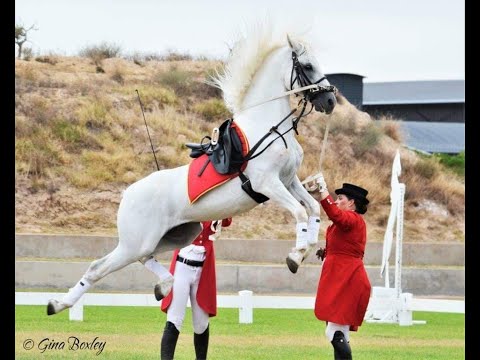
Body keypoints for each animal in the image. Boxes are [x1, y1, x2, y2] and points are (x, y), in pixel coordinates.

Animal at [47, 26, 336, 316]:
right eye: (308, 65)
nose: (331, 100)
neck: (269, 128)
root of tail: (127, 193)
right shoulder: (267, 183)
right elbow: (299, 211)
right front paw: (295, 255)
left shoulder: (288, 181)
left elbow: (313, 208)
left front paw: (306, 249)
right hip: (136, 241)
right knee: (98, 267)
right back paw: (58, 304)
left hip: (175, 234)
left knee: (141, 258)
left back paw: (162, 285)